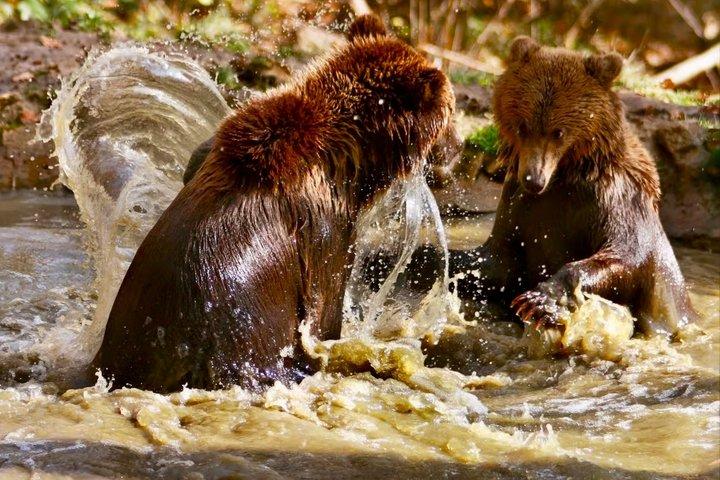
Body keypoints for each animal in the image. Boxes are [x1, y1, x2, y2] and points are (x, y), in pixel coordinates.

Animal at [94, 14, 457, 393]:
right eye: (451, 114)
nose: (458, 149)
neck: (350, 160)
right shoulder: (323, 228)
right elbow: (325, 303)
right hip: (242, 338)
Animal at [452, 37, 695, 337]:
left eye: (558, 132)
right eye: (523, 126)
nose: (533, 180)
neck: (568, 172)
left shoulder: (613, 200)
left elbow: (624, 255)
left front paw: (538, 301)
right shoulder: (517, 206)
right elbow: (494, 259)